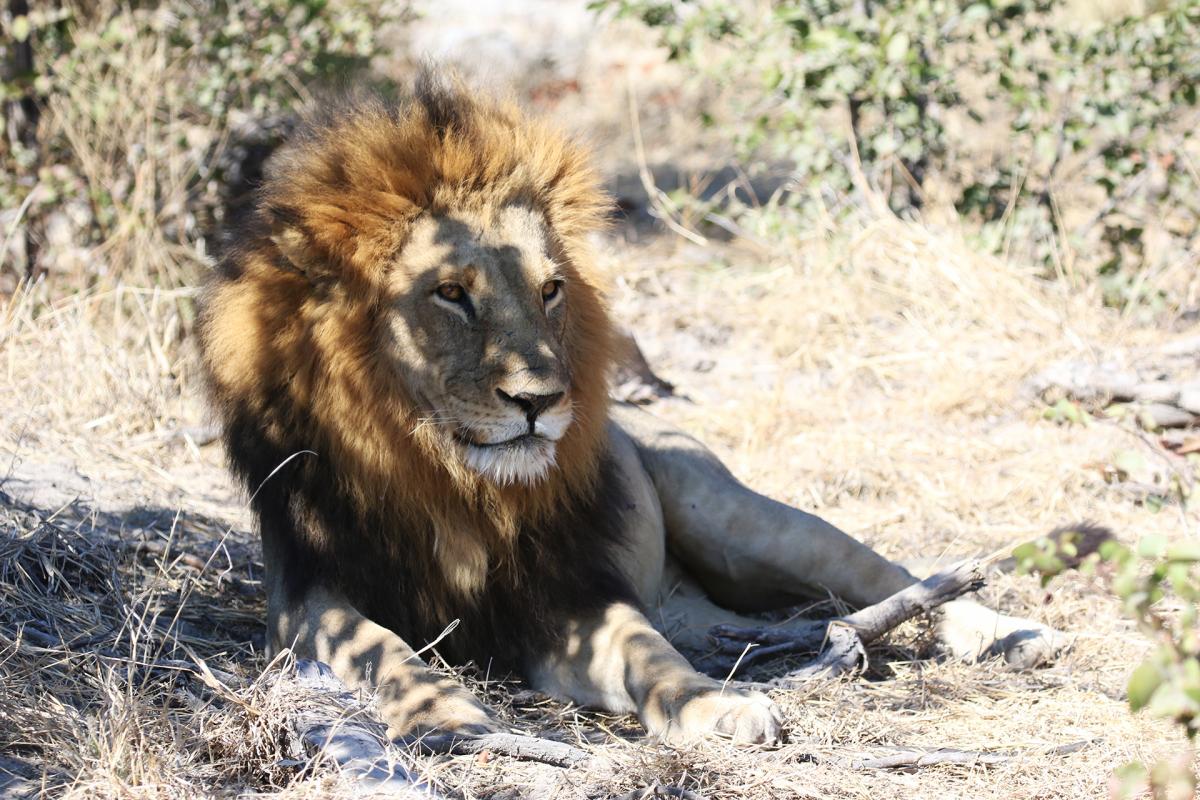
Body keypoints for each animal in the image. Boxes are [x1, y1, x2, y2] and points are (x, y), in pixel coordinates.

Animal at [197, 71, 1067, 746]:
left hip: (742, 521)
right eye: (450, 293)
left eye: (550, 289)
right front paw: (443, 708)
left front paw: (713, 706)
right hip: (708, 595)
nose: (541, 402)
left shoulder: (565, 595)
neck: (448, 480)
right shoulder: (307, 595)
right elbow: (380, 646)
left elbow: (647, 654)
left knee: (894, 575)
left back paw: (1014, 635)